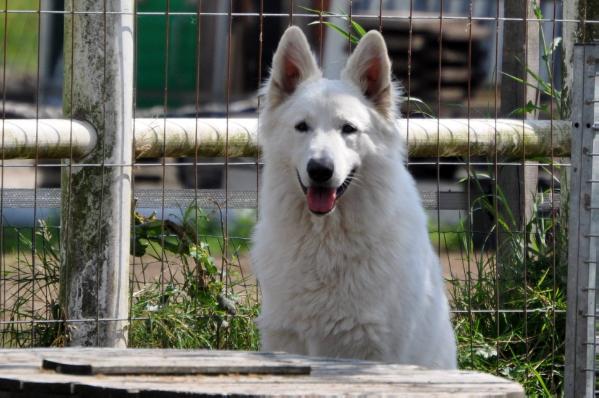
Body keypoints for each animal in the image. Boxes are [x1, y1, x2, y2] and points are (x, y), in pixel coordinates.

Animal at [251, 25, 458, 370]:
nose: (320, 169)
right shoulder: (285, 339)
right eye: (302, 127)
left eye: (348, 129)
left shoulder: (380, 353)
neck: (325, 241)